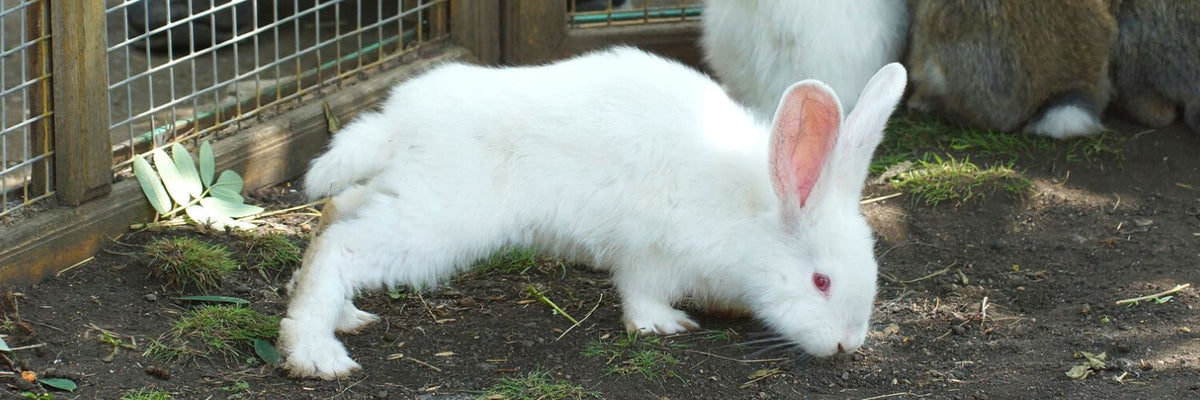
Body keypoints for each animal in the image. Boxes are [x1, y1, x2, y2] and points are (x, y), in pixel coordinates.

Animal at [278, 46, 907, 380]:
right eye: (821, 282)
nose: (848, 345)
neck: (750, 210)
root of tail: (399, 121)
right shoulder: (652, 252)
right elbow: (640, 293)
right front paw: (663, 326)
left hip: (406, 193)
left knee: (335, 212)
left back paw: (342, 316)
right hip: (439, 220)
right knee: (343, 246)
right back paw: (316, 353)